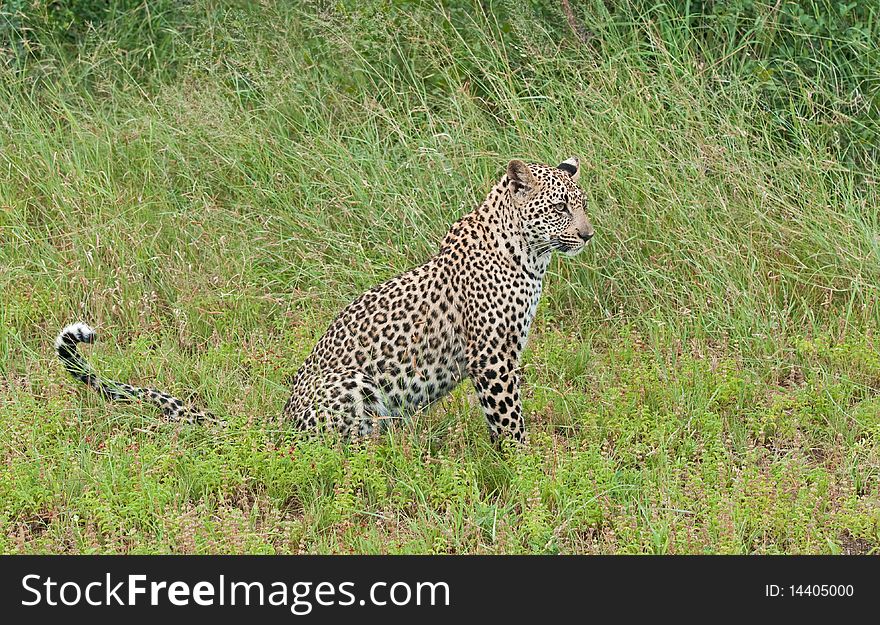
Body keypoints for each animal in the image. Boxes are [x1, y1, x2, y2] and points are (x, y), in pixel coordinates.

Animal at [53, 156, 592, 444]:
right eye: (560, 207)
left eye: (583, 204)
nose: (588, 235)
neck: (530, 254)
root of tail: (282, 422)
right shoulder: (493, 359)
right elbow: (509, 423)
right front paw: (524, 466)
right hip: (355, 388)